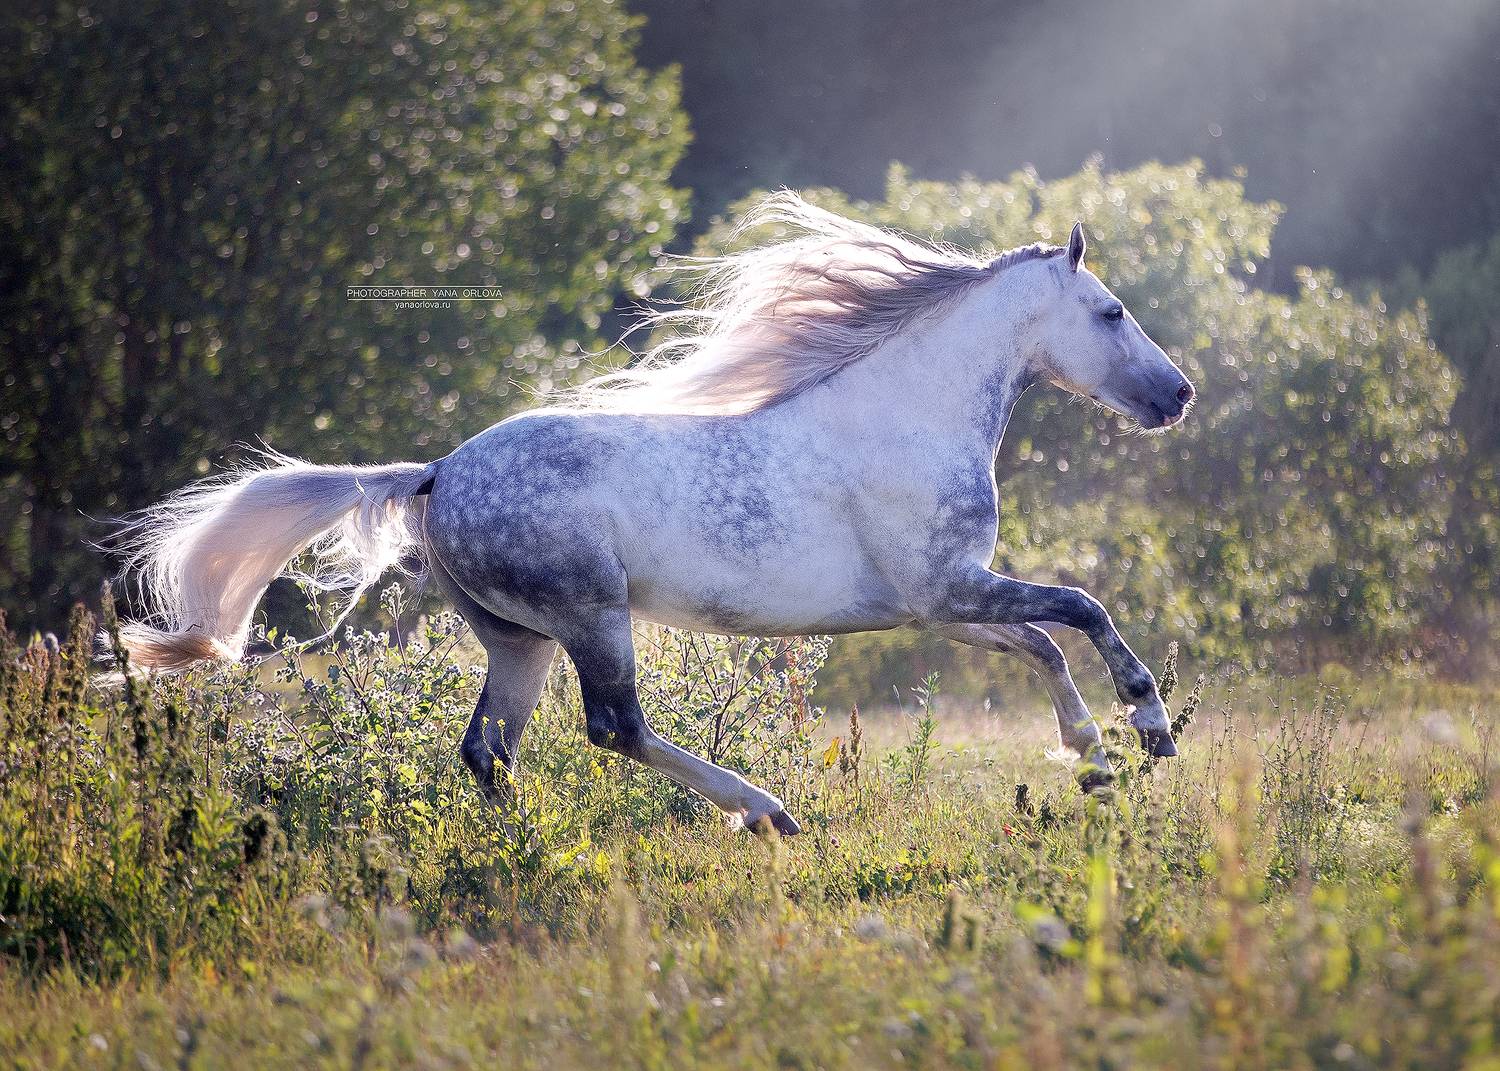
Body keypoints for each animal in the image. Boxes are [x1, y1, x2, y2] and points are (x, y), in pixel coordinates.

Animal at [112, 192, 1195, 836]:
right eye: (1110, 312)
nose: (1177, 395)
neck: (906, 414)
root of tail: (436, 474)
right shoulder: (951, 587)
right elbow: (1084, 609)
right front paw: (1147, 729)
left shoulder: (940, 606)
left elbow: (1046, 642)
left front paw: (1092, 759)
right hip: (593, 616)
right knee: (614, 727)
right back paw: (764, 810)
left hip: (518, 638)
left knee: (489, 749)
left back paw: (525, 842)